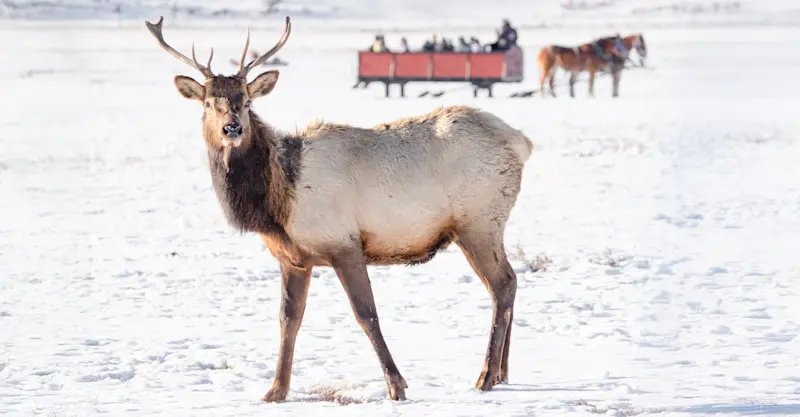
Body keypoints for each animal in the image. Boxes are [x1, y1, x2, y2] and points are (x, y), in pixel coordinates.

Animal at [144, 15, 534, 402]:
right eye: (209, 104)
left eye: (247, 101)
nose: (232, 128)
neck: (277, 203)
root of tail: (522, 141)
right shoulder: (292, 258)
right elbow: (288, 319)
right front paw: (276, 390)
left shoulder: (344, 243)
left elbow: (366, 314)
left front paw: (396, 385)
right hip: (479, 226)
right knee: (508, 283)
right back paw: (502, 373)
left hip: (479, 221)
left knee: (502, 285)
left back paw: (486, 376)